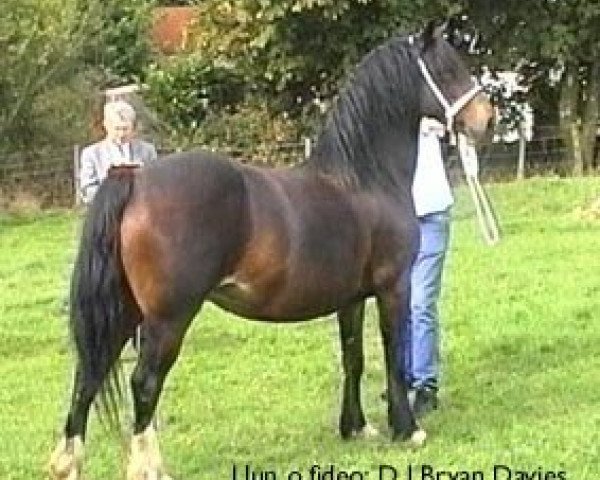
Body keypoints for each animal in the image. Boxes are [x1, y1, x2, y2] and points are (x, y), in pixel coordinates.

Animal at [50, 23, 492, 480]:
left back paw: (68, 463)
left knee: (88, 375)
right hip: (167, 319)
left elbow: (352, 357)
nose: (486, 119)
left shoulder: (350, 298)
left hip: (123, 310)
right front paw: (407, 429)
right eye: (447, 69)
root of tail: (135, 179)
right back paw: (149, 467)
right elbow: (393, 355)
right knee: (143, 383)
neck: (365, 179)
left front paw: (355, 427)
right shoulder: (394, 288)